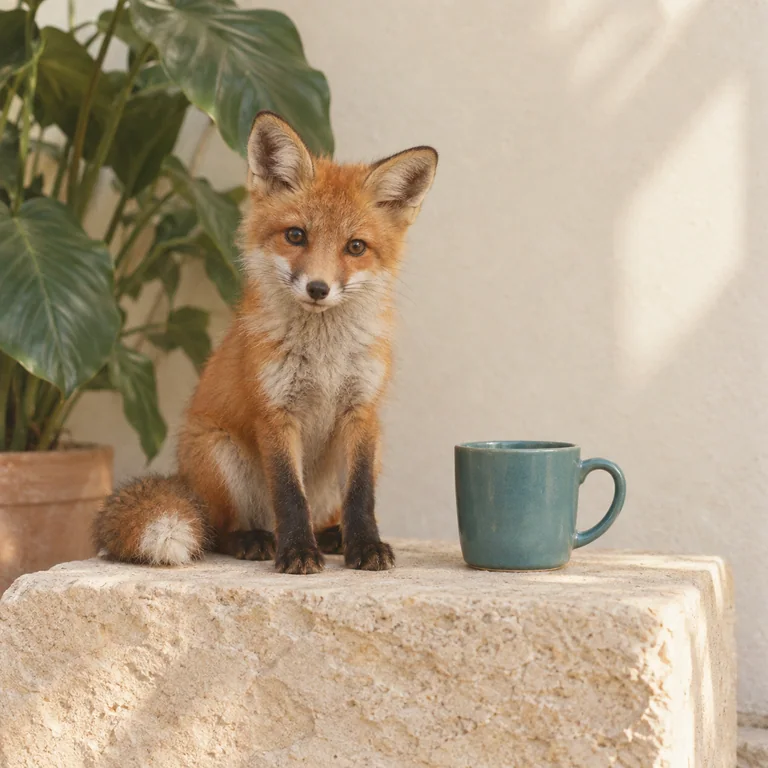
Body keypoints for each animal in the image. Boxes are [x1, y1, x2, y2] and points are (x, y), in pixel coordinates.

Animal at [93, 111, 438, 574]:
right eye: (295, 236)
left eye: (356, 247)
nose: (318, 288)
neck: (324, 358)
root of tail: (185, 478)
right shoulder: (275, 413)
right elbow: (290, 496)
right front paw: (297, 552)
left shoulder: (362, 413)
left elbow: (361, 497)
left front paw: (365, 546)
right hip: (219, 453)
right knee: (218, 530)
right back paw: (255, 539)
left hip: (368, 451)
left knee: (325, 512)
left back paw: (332, 537)